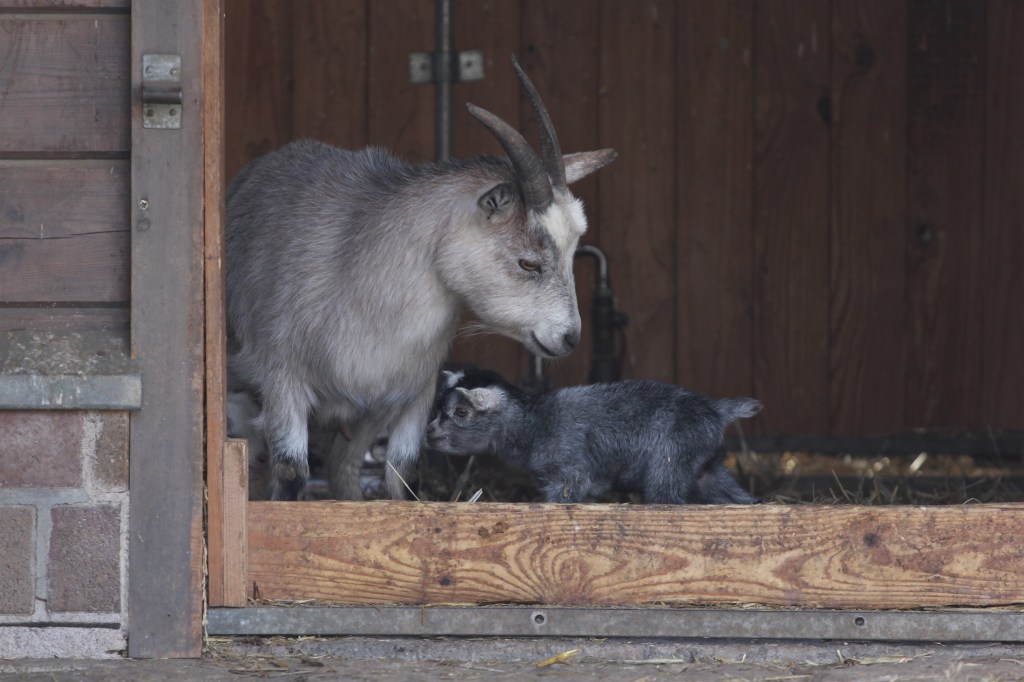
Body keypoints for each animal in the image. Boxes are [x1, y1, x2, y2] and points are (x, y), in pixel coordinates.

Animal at [225, 55, 614, 497]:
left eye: (572, 250)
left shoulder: (410, 394)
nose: (569, 337)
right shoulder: (284, 379)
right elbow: (291, 473)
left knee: (344, 466)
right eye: (528, 262)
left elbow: (403, 477)